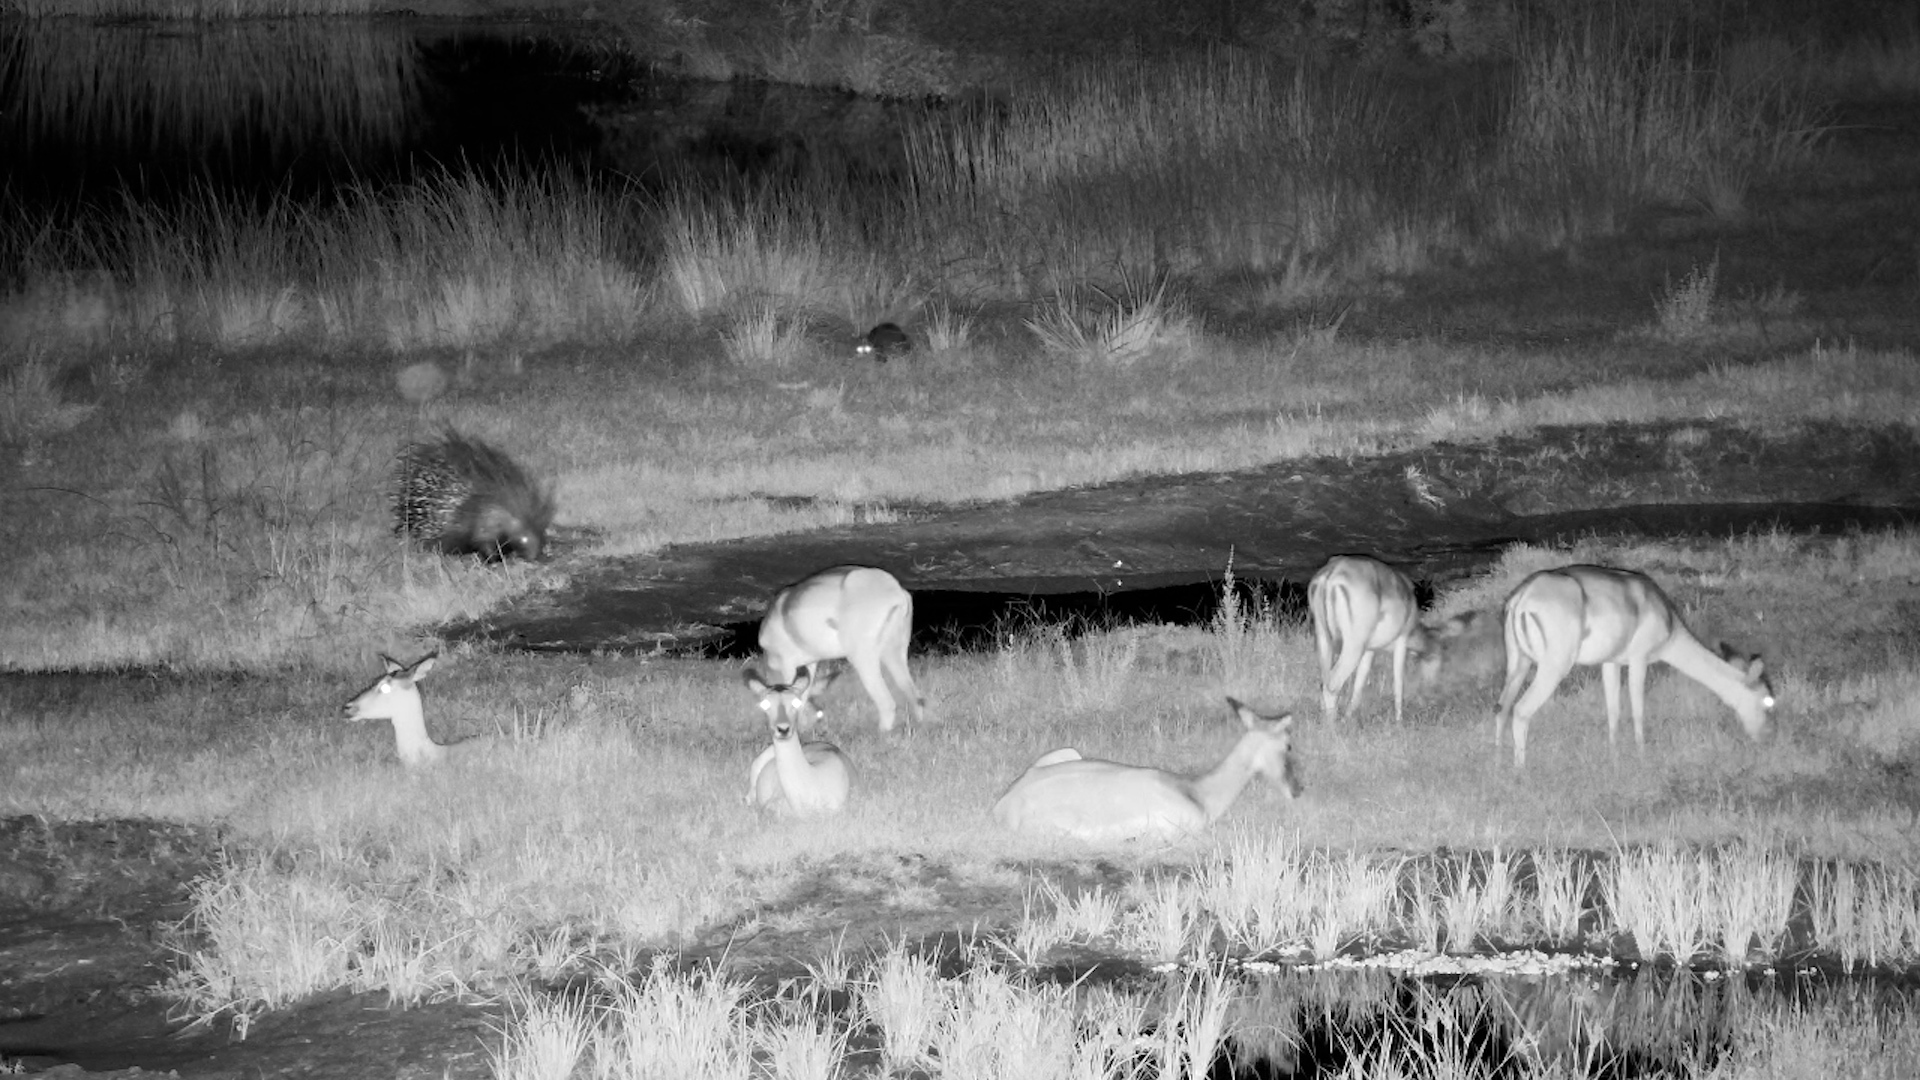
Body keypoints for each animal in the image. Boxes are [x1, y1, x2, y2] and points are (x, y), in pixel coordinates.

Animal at [759, 565, 925, 733]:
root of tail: (895, 588)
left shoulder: (788, 665)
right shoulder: (810, 665)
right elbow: (802, 697)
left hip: (862, 658)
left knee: (887, 702)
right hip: (894, 654)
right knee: (916, 697)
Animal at [1308, 555, 1426, 725]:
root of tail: (1332, 572)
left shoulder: (1369, 650)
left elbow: (1359, 684)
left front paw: (1347, 719)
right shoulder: (1401, 641)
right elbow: (1398, 684)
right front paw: (1399, 722)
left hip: (1324, 638)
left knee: (1323, 682)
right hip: (1353, 646)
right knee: (1332, 685)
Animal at [1494, 564, 1774, 768]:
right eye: (1767, 701)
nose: (1764, 739)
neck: (1667, 619)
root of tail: (1522, 596)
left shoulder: (1611, 662)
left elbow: (1613, 710)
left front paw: (1614, 755)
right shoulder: (1639, 659)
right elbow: (1638, 709)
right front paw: (1641, 754)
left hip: (1518, 664)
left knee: (1501, 708)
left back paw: (1498, 764)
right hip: (1553, 667)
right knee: (1521, 710)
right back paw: (1521, 769)